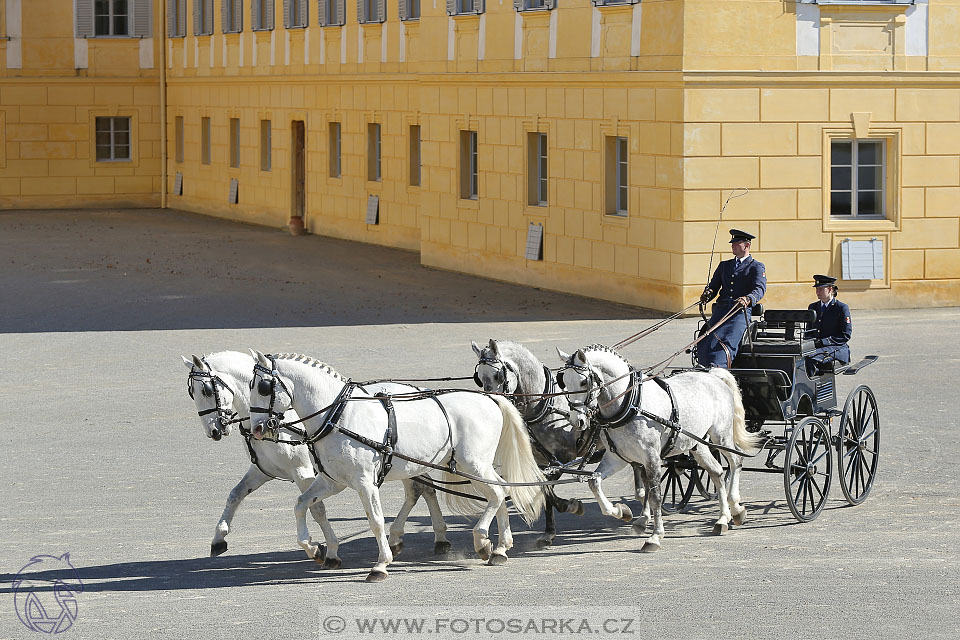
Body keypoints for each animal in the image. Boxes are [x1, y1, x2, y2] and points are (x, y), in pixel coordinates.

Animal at [185, 350, 454, 564]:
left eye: (206, 390)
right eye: (192, 393)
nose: (214, 431)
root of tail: (418, 390)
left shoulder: (303, 472)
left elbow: (317, 509)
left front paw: (323, 549)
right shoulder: (263, 471)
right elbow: (235, 495)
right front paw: (219, 538)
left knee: (419, 490)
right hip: (405, 464)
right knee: (423, 489)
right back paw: (430, 537)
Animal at [248, 348, 548, 584]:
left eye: (263, 387)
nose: (258, 429)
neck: (338, 415)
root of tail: (489, 398)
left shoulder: (365, 482)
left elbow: (376, 521)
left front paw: (380, 565)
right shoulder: (332, 481)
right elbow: (301, 505)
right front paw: (314, 548)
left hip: (473, 465)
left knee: (497, 494)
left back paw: (482, 541)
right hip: (475, 466)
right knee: (501, 490)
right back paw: (499, 548)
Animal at [560, 344, 760, 552]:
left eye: (584, 382)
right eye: (564, 382)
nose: (576, 420)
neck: (631, 405)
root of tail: (712, 374)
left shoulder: (651, 457)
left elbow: (655, 495)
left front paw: (655, 536)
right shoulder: (617, 457)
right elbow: (594, 482)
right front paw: (621, 511)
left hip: (720, 436)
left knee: (736, 461)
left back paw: (736, 508)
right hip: (698, 445)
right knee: (717, 472)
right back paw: (722, 519)